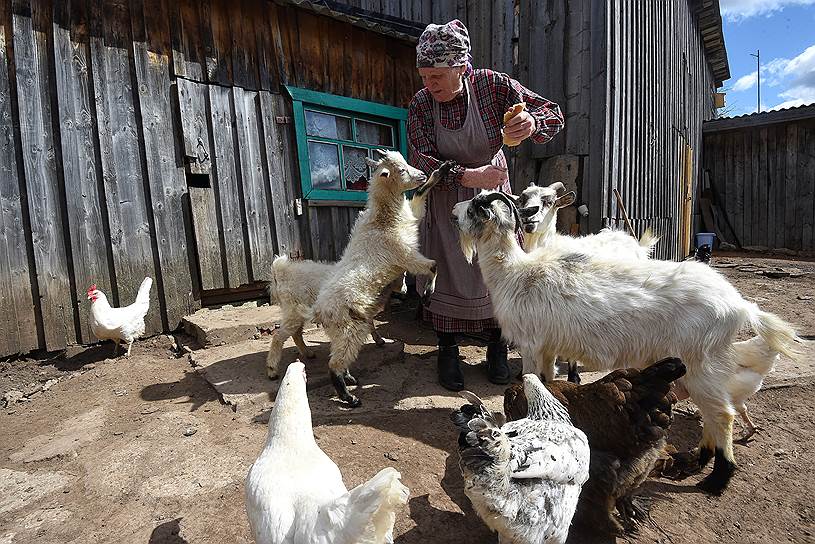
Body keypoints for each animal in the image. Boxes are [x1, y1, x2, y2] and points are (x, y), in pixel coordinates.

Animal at [266, 258, 406, 380]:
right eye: (403, 276)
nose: (405, 290)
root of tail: (281, 272)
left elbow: (370, 323)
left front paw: (379, 340)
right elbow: (369, 324)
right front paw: (379, 340)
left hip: (296, 312)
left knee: (296, 334)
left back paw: (308, 353)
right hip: (293, 311)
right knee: (278, 337)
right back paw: (272, 370)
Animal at [312, 151, 456, 406]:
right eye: (400, 170)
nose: (421, 174)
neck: (382, 219)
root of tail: (320, 311)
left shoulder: (411, 222)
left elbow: (419, 197)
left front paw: (441, 171)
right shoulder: (405, 256)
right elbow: (433, 265)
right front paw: (427, 296)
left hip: (341, 331)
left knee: (338, 355)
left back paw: (350, 379)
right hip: (350, 328)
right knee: (335, 363)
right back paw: (348, 396)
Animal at [452, 191, 804, 498]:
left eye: (476, 206)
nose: (454, 210)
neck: (515, 273)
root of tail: (740, 305)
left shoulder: (531, 345)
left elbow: (531, 382)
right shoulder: (549, 347)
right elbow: (549, 382)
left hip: (701, 364)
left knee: (722, 415)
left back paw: (715, 480)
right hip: (701, 370)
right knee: (713, 414)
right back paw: (693, 465)